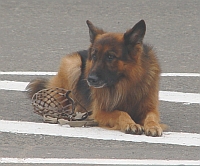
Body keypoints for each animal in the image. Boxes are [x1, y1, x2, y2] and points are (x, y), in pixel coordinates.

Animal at [26, 19, 164, 136]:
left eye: (110, 57)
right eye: (94, 56)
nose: (90, 79)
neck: (126, 82)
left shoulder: (150, 108)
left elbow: (152, 116)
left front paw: (153, 126)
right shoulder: (100, 112)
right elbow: (120, 113)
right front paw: (130, 123)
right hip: (73, 64)